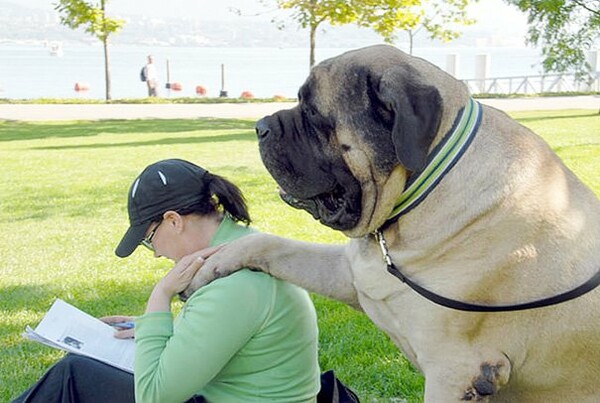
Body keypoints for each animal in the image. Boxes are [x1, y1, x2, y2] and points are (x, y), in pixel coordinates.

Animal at [185, 45, 596, 400]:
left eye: (313, 113)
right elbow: (271, 244)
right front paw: (211, 264)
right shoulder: (352, 276)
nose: (260, 126)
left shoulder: (455, 370)